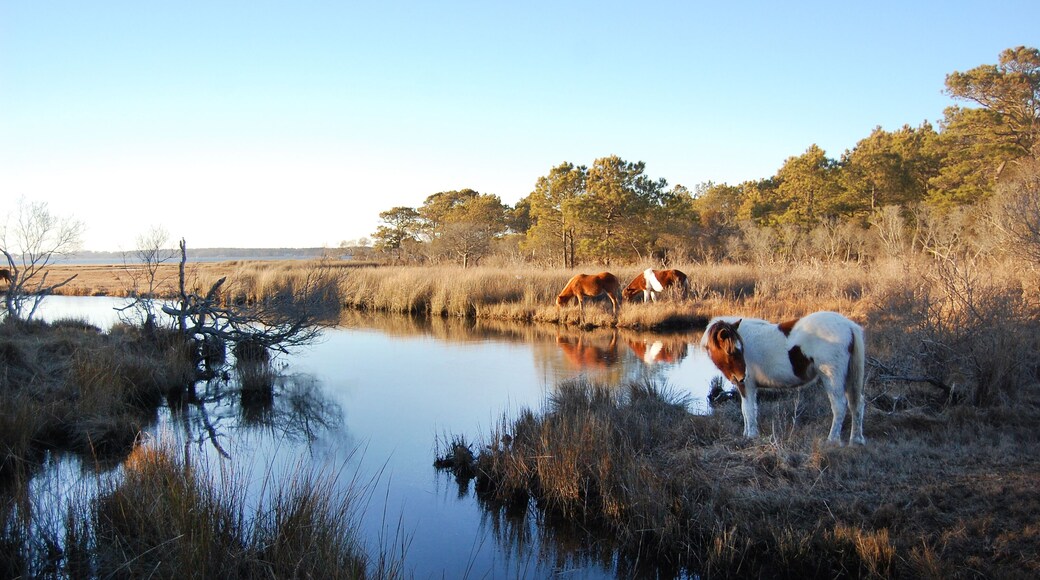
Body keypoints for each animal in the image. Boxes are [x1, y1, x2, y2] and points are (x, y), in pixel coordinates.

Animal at [701, 311, 866, 445]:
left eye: (737, 349)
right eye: (730, 351)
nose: (742, 376)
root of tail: (849, 326)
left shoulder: (747, 386)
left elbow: (748, 410)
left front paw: (751, 436)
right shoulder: (745, 386)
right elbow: (747, 409)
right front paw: (747, 434)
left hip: (832, 377)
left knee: (839, 406)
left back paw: (832, 440)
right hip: (848, 378)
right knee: (857, 404)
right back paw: (856, 440)